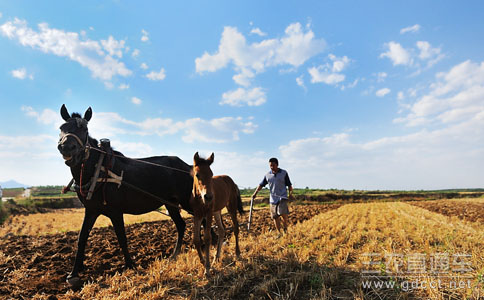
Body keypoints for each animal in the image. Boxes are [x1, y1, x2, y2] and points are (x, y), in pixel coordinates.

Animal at [57, 105, 193, 286]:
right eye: (62, 128)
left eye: (84, 129)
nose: (66, 147)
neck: (98, 171)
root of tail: (188, 166)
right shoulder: (91, 210)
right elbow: (82, 239)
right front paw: (73, 273)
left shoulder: (116, 211)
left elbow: (122, 237)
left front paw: (130, 265)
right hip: (171, 204)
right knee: (182, 225)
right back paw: (175, 254)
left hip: (186, 200)